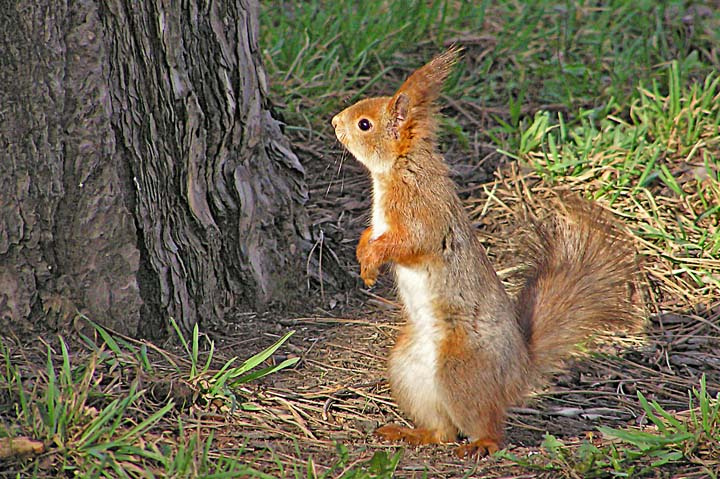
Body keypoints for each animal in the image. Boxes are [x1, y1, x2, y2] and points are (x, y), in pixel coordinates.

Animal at [331, 47, 641, 458]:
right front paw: (364, 260)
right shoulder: (383, 221)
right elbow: (371, 235)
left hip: (461, 370)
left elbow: (407, 243)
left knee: (487, 425)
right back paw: (410, 433)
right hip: (407, 369)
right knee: (442, 431)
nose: (335, 122)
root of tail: (518, 370)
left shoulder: (422, 214)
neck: (399, 169)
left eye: (364, 124)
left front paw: (371, 260)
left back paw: (480, 444)